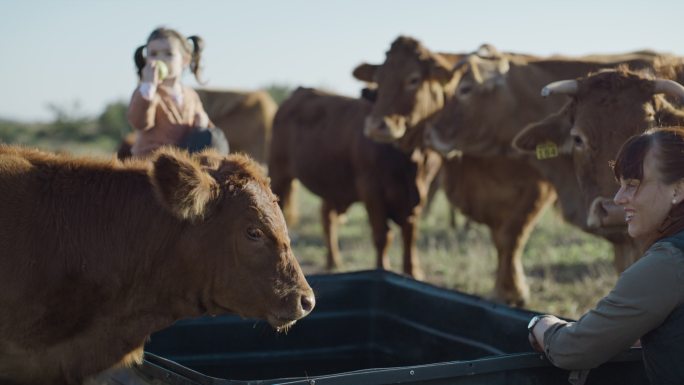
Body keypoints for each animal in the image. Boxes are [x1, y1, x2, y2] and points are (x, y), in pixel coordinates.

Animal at [264, 87, 440, 280]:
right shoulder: (372, 193)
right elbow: (383, 236)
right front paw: (382, 268)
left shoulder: (416, 200)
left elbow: (410, 235)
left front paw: (413, 272)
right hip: (279, 174)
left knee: (327, 218)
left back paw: (334, 262)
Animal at [352, 37, 556, 304]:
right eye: (379, 78)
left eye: (413, 79)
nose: (376, 126)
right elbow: (501, 240)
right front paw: (504, 289)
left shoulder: (539, 188)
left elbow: (513, 236)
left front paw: (513, 291)